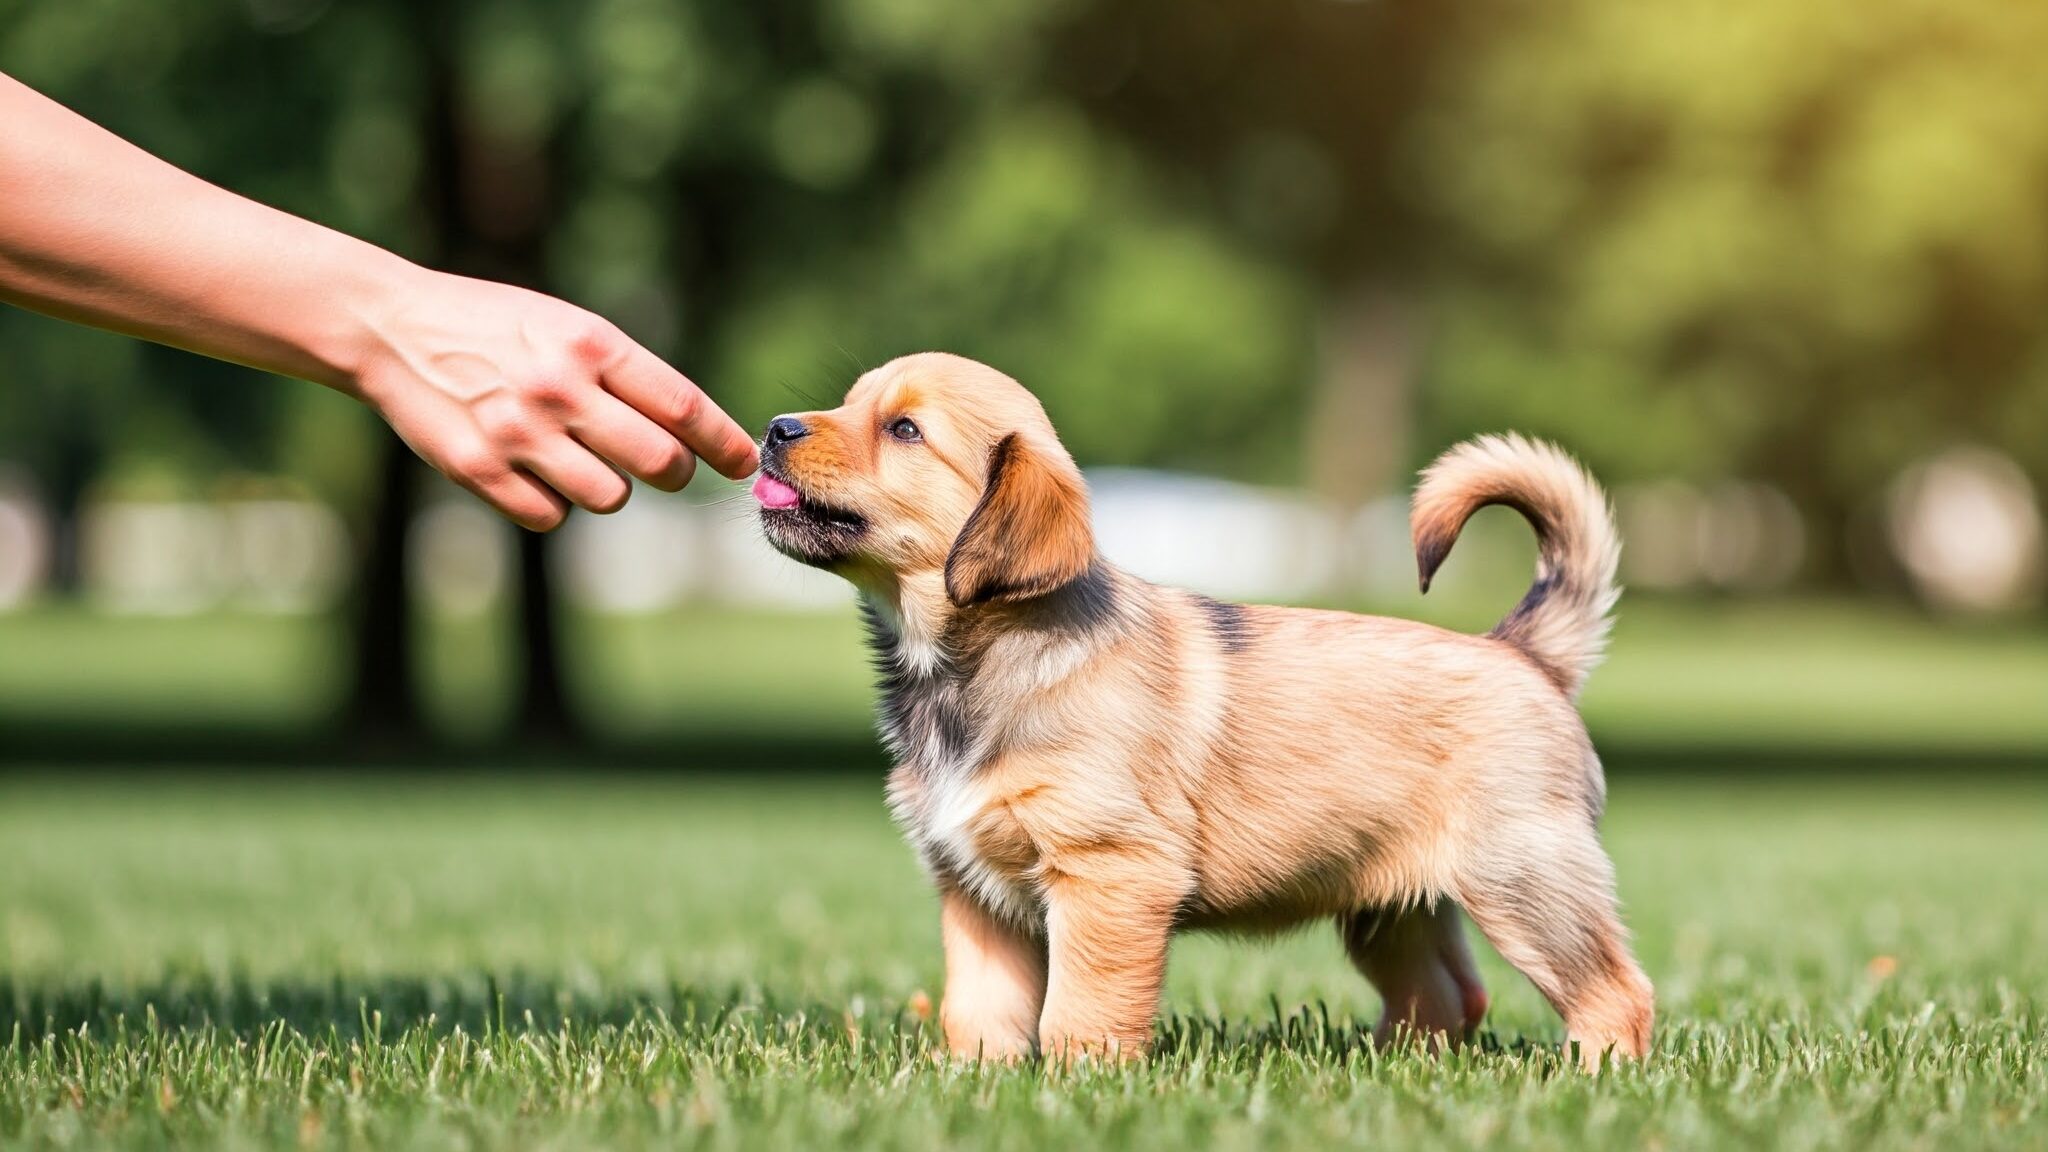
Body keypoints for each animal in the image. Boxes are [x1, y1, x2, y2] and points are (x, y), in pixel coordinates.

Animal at [749, 352, 1646, 1065]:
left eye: (904, 430)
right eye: (849, 402)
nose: (774, 427)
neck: (969, 666)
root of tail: (1523, 653)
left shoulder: (1108, 873)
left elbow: (1081, 1009)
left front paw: (1079, 1087)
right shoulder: (976, 894)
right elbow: (983, 1010)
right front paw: (980, 1082)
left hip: (1524, 882)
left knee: (1616, 995)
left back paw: (1595, 1077)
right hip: (1393, 907)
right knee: (1447, 996)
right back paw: (1391, 1067)